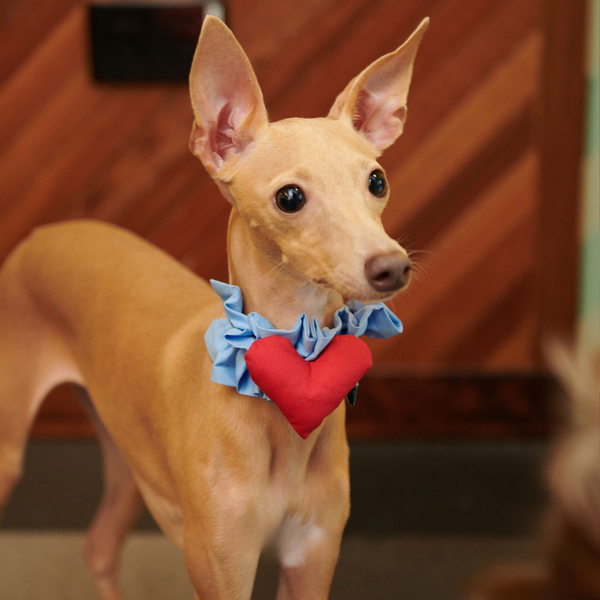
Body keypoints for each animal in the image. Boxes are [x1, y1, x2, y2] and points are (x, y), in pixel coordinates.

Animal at [0, 16, 426, 596]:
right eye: (289, 197)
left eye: (376, 180)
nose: (392, 267)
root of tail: (43, 233)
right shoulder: (222, 568)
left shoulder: (311, 559)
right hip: (9, 451)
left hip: (126, 457)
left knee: (99, 545)